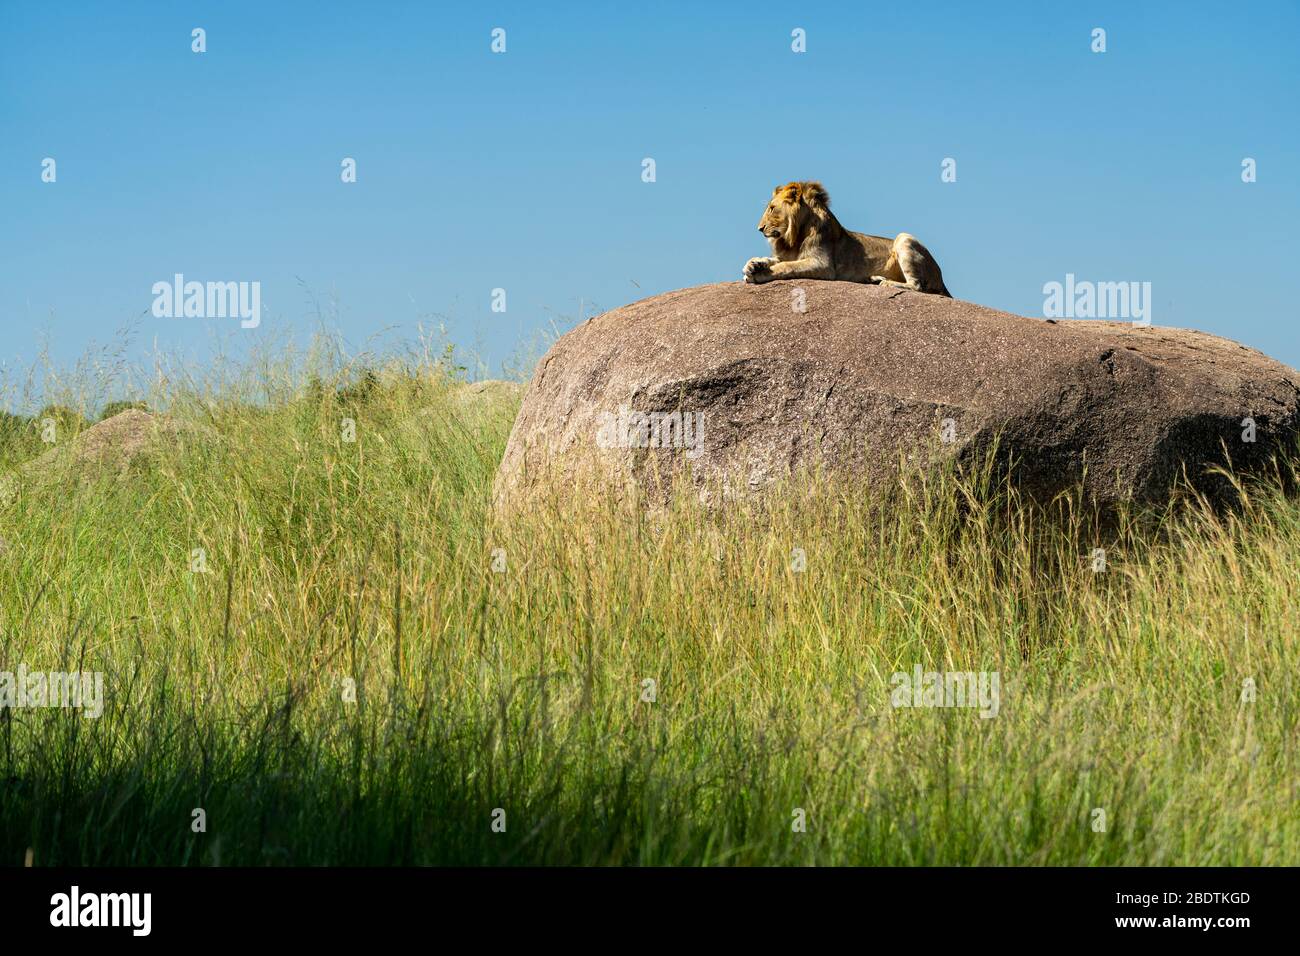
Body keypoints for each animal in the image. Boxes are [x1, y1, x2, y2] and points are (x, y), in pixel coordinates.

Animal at [743, 182, 956, 295]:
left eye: (772, 208)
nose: (759, 228)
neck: (793, 236)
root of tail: (942, 280)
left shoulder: (822, 264)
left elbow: (786, 266)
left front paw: (759, 274)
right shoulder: (788, 255)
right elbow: (774, 260)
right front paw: (753, 265)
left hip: (904, 237)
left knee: (918, 286)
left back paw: (886, 283)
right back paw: (874, 279)